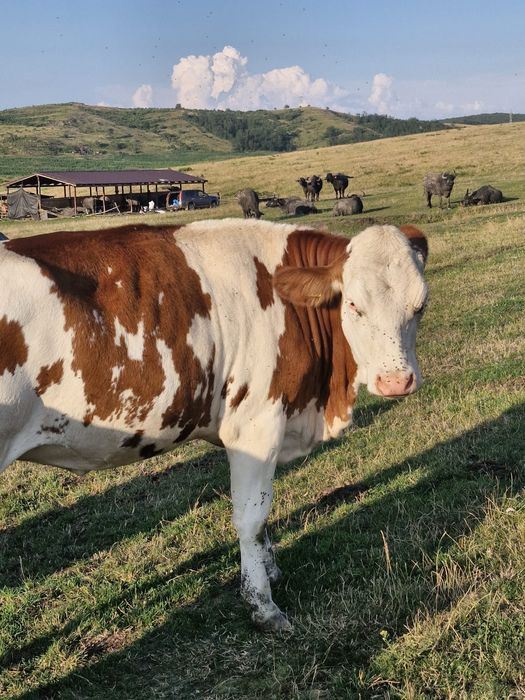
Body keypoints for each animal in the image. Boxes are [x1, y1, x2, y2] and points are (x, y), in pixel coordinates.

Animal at [0, 220, 428, 632]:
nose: (396, 381)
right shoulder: (256, 425)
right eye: (354, 304)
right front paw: (262, 604)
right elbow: (251, 517)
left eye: (420, 305)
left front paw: (270, 569)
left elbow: (261, 512)